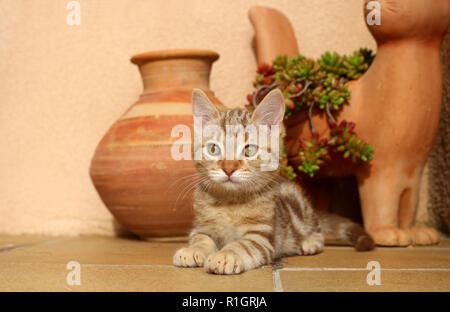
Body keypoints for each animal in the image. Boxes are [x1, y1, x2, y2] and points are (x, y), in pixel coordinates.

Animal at [174, 88, 374, 276]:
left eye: (249, 150)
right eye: (213, 149)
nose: (229, 168)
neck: (230, 203)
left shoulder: (262, 237)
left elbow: (242, 245)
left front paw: (226, 255)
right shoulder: (202, 227)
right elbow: (200, 238)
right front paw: (193, 250)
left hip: (300, 208)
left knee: (317, 231)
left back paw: (309, 242)